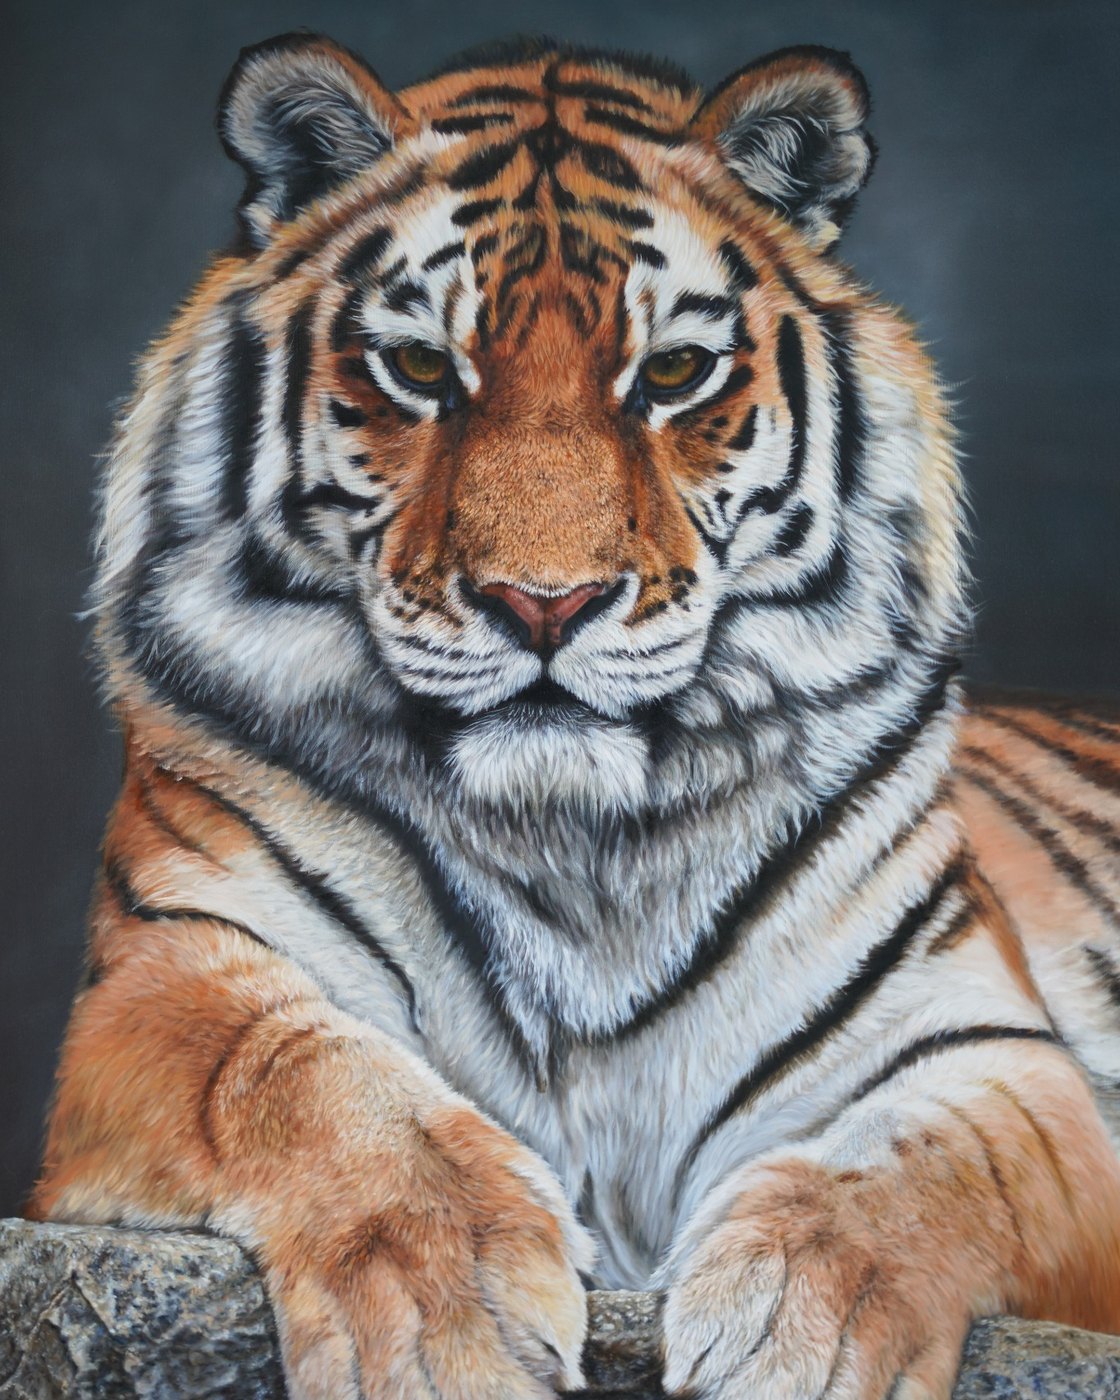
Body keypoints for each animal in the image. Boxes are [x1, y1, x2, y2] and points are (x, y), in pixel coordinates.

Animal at [29, 29, 1120, 1400]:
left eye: (673, 373)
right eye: (421, 367)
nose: (542, 604)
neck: (571, 843)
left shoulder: (991, 1052)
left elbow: (919, 1167)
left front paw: (791, 1334)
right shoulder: (163, 971)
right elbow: (305, 1074)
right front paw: (446, 1319)